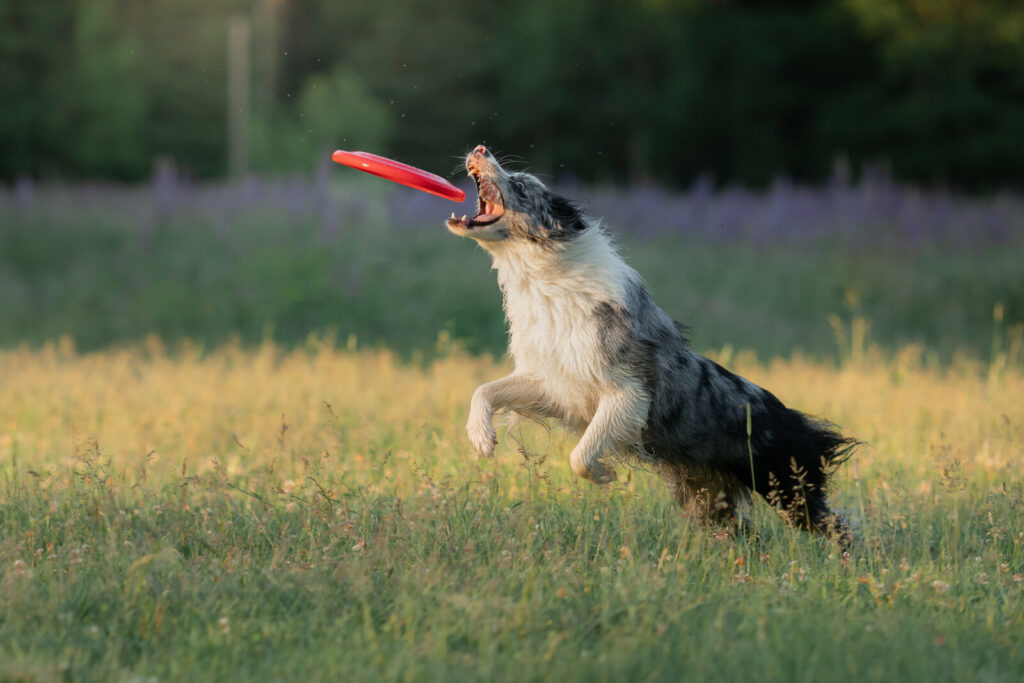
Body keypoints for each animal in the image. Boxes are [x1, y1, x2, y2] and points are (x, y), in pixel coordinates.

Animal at [448, 145, 856, 540]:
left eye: (519, 184)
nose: (480, 148)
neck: (543, 277)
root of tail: (791, 415)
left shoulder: (627, 392)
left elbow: (580, 455)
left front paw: (604, 474)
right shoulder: (553, 381)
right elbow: (484, 390)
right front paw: (480, 437)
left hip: (785, 485)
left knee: (838, 527)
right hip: (709, 498)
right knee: (747, 534)